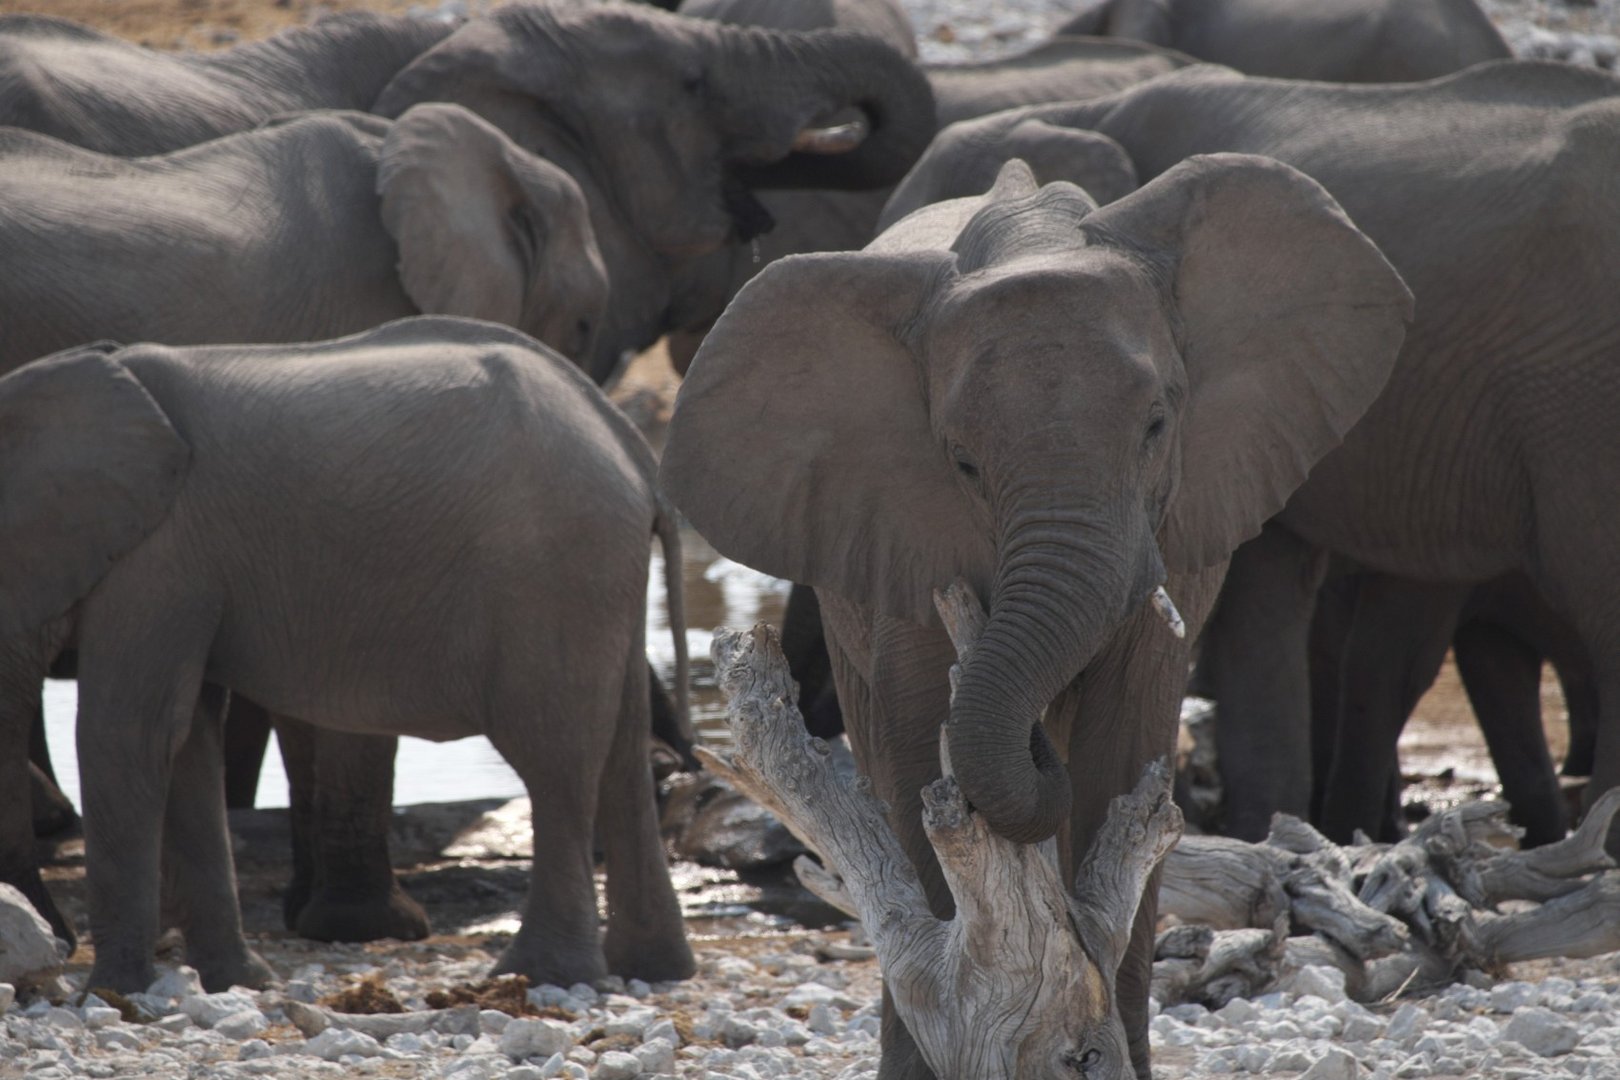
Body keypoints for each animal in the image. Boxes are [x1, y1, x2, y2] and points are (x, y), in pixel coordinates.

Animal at [0, 314, 690, 997]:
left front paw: (113, 995)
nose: (61, 951)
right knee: (623, 758)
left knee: (554, 758)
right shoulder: (185, 565)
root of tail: (634, 452)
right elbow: (191, 740)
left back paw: (538, 974)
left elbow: (129, 734)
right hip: (600, 579)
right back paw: (650, 969)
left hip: (554, 575)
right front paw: (237, 983)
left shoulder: (158, 554)